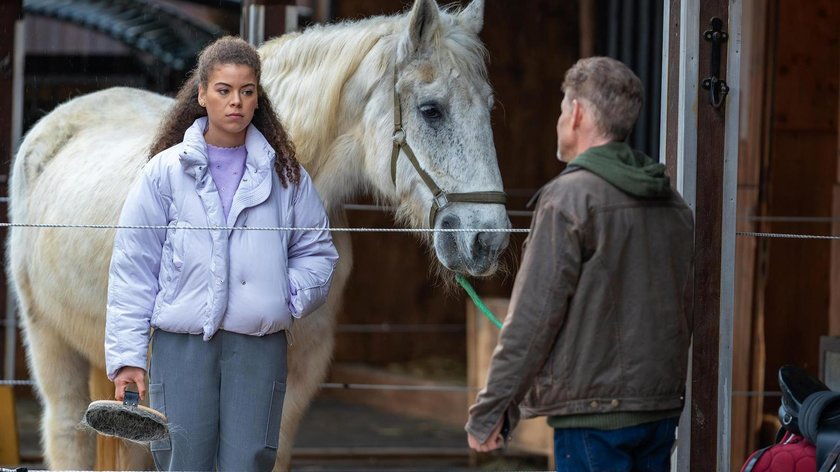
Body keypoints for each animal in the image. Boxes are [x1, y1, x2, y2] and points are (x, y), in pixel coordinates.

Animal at [6, 0, 508, 468]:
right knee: (66, 432)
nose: (488, 239)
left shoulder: (293, 386)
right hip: (51, 342)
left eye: (488, 107)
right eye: (431, 110)